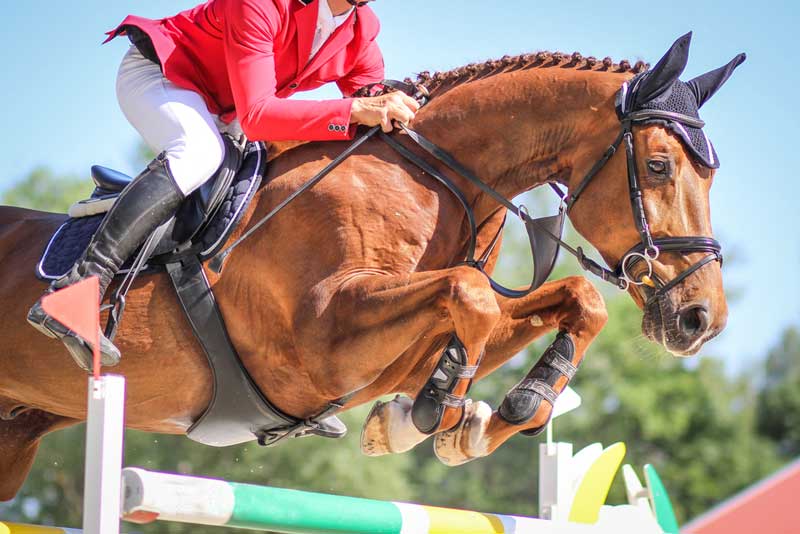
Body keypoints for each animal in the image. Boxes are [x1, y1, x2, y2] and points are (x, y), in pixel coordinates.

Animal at [0, 34, 744, 502]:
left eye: (711, 173)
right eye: (658, 165)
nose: (700, 320)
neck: (437, 179)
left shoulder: (392, 352)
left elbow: (569, 301)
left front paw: (491, 415)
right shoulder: (318, 341)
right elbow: (472, 294)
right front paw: (439, 413)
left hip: (17, 433)